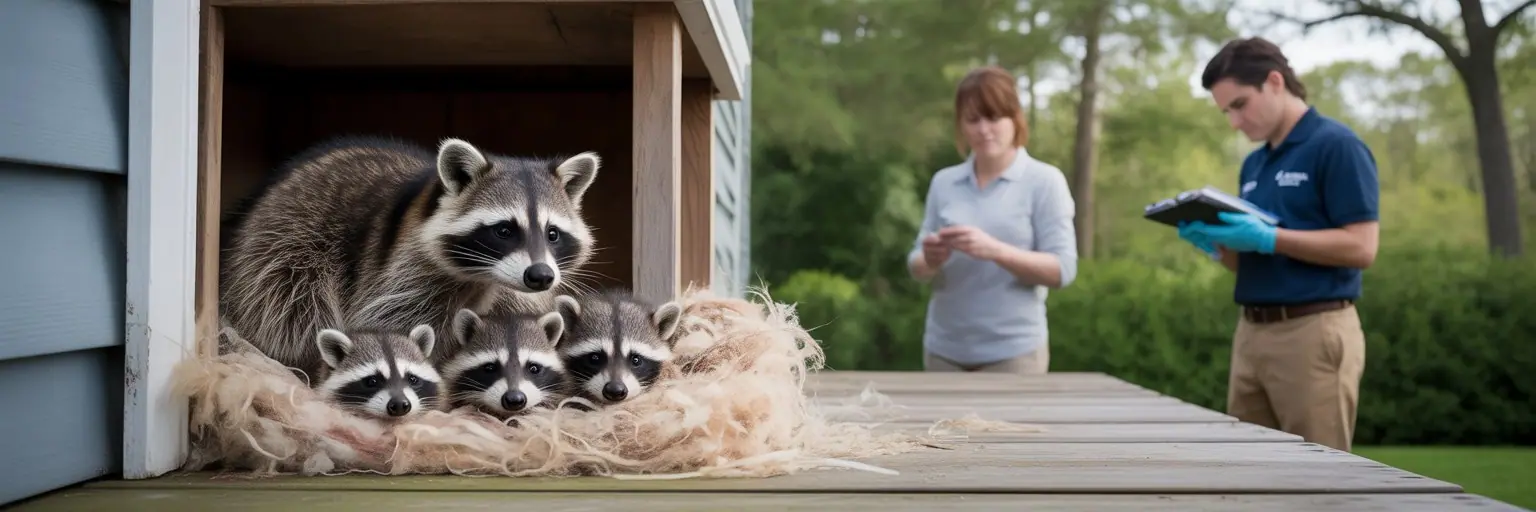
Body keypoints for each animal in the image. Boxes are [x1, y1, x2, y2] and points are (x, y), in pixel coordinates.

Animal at [219, 135, 600, 373]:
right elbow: (391, 329)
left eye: (553, 234)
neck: (482, 280)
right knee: (292, 309)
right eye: (504, 230)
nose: (540, 276)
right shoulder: (405, 275)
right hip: (283, 243)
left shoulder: (513, 293)